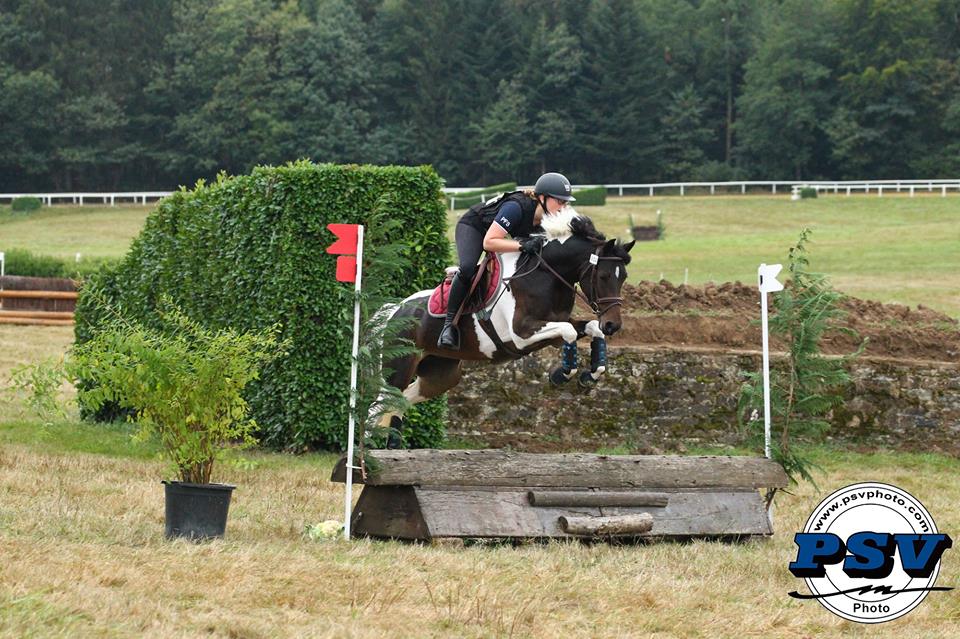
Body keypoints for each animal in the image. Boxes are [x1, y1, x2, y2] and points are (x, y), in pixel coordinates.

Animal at [378, 208, 632, 438]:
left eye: (624, 277)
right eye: (604, 276)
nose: (613, 325)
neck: (546, 275)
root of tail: (393, 311)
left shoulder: (552, 332)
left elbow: (590, 329)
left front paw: (589, 376)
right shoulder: (522, 333)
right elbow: (570, 331)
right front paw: (561, 375)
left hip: (440, 374)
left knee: (400, 402)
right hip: (398, 370)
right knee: (380, 404)